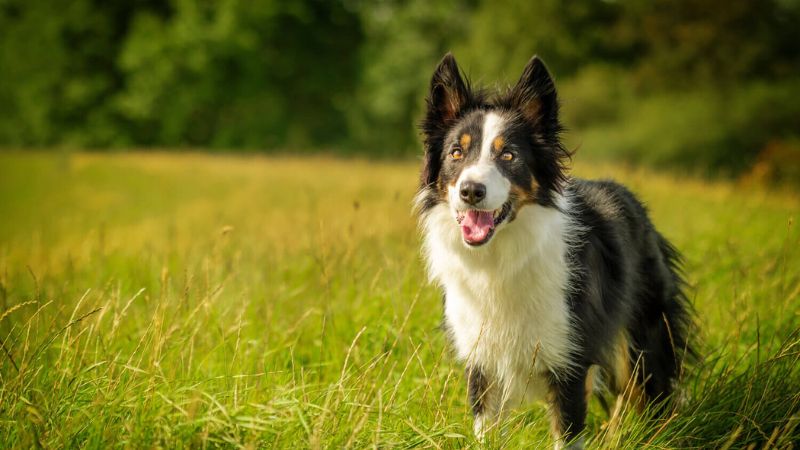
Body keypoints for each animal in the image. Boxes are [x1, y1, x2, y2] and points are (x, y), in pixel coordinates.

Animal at [416, 54, 692, 448]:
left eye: (509, 155)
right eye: (456, 152)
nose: (470, 191)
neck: (499, 261)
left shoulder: (569, 363)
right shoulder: (482, 364)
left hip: (643, 336)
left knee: (648, 394)